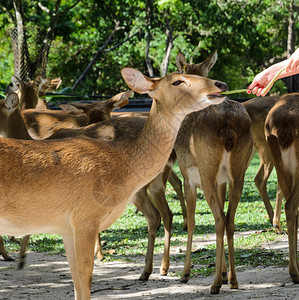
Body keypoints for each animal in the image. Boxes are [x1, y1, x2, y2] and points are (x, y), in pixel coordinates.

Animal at [0, 68, 227, 298]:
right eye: (177, 81)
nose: (221, 84)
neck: (120, 165)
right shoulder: (85, 218)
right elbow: (85, 280)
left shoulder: (68, 228)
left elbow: (77, 282)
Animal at [175, 52, 254, 294]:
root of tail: (228, 127)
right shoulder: (222, 181)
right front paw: (225, 272)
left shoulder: (188, 178)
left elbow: (191, 222)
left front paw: (185, 274)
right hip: (239, 172)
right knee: (230, 219)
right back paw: (233, 280)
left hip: (206, 171)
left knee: (219, 219)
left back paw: (215, 284)